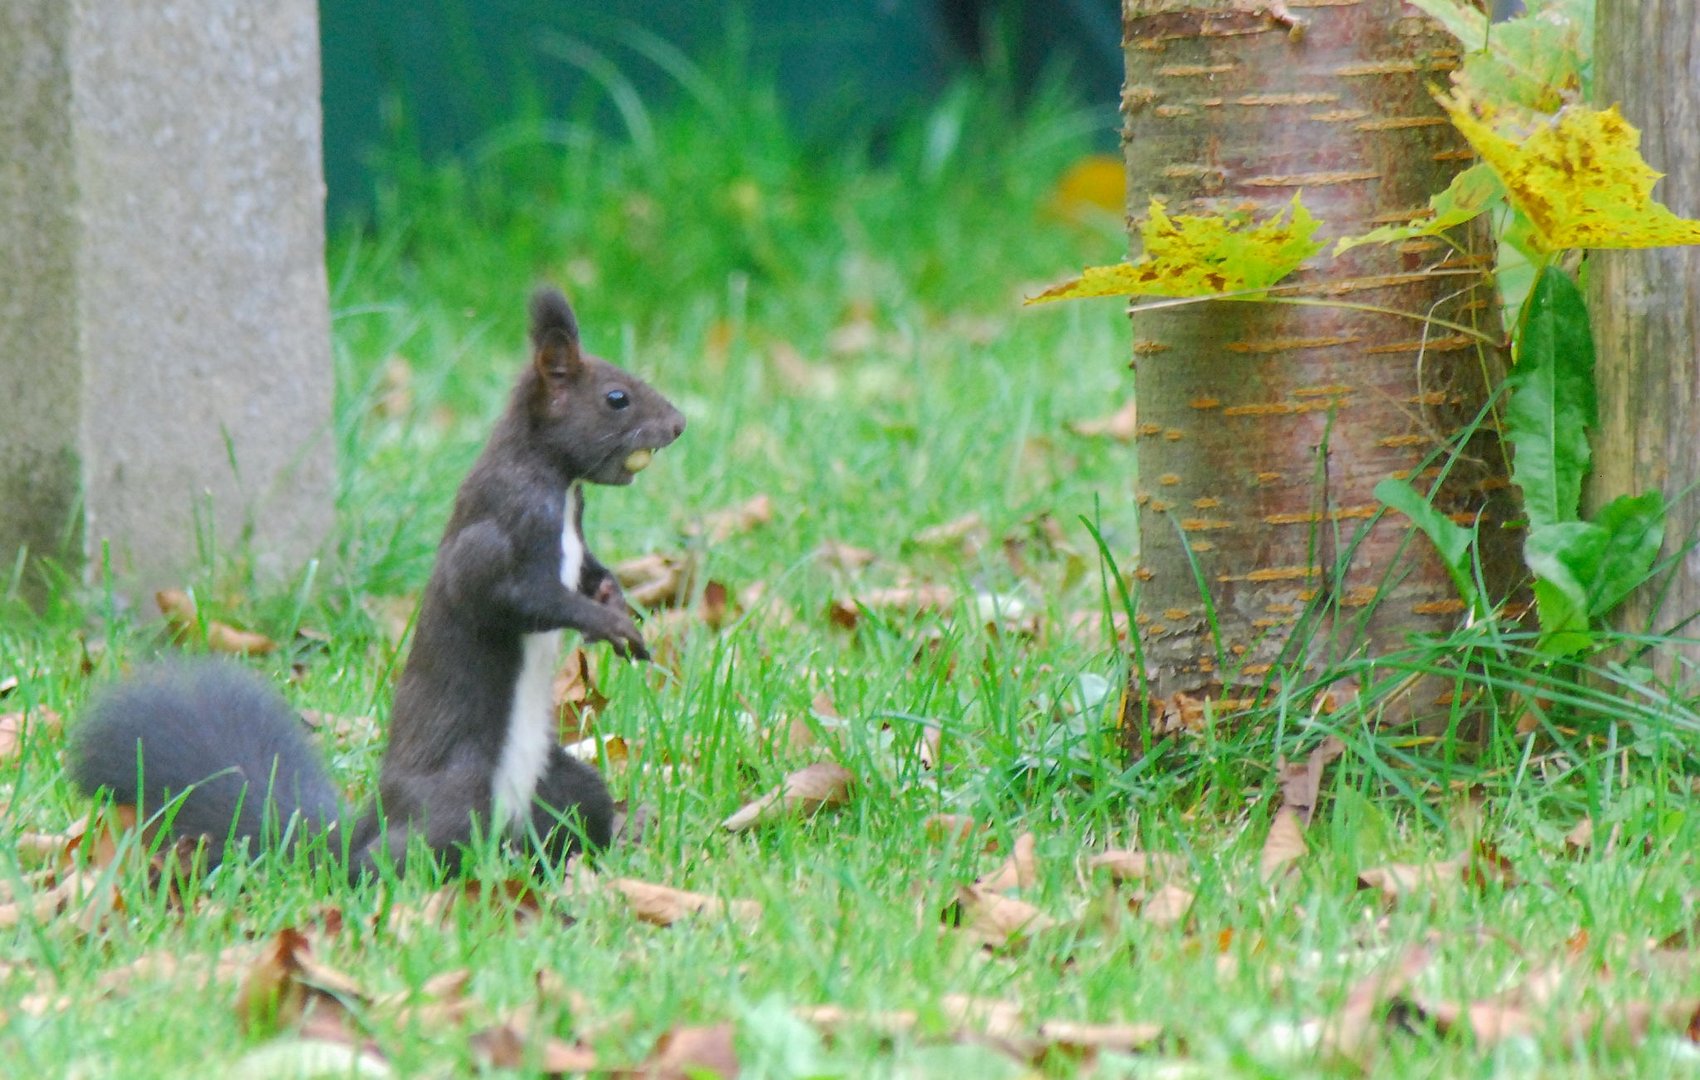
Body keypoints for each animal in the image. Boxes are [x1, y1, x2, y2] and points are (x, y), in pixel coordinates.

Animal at [68, 287, 683, 877]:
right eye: (616, 398)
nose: (678, 424)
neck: (559, 483)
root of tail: (356, 833)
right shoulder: (499, 525)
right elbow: (507, 595)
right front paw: (606, 623)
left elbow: (589, 572)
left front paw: (617, 605)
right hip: (454, 804)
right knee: (393, 858)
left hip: (563, 788)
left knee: (575, 816)